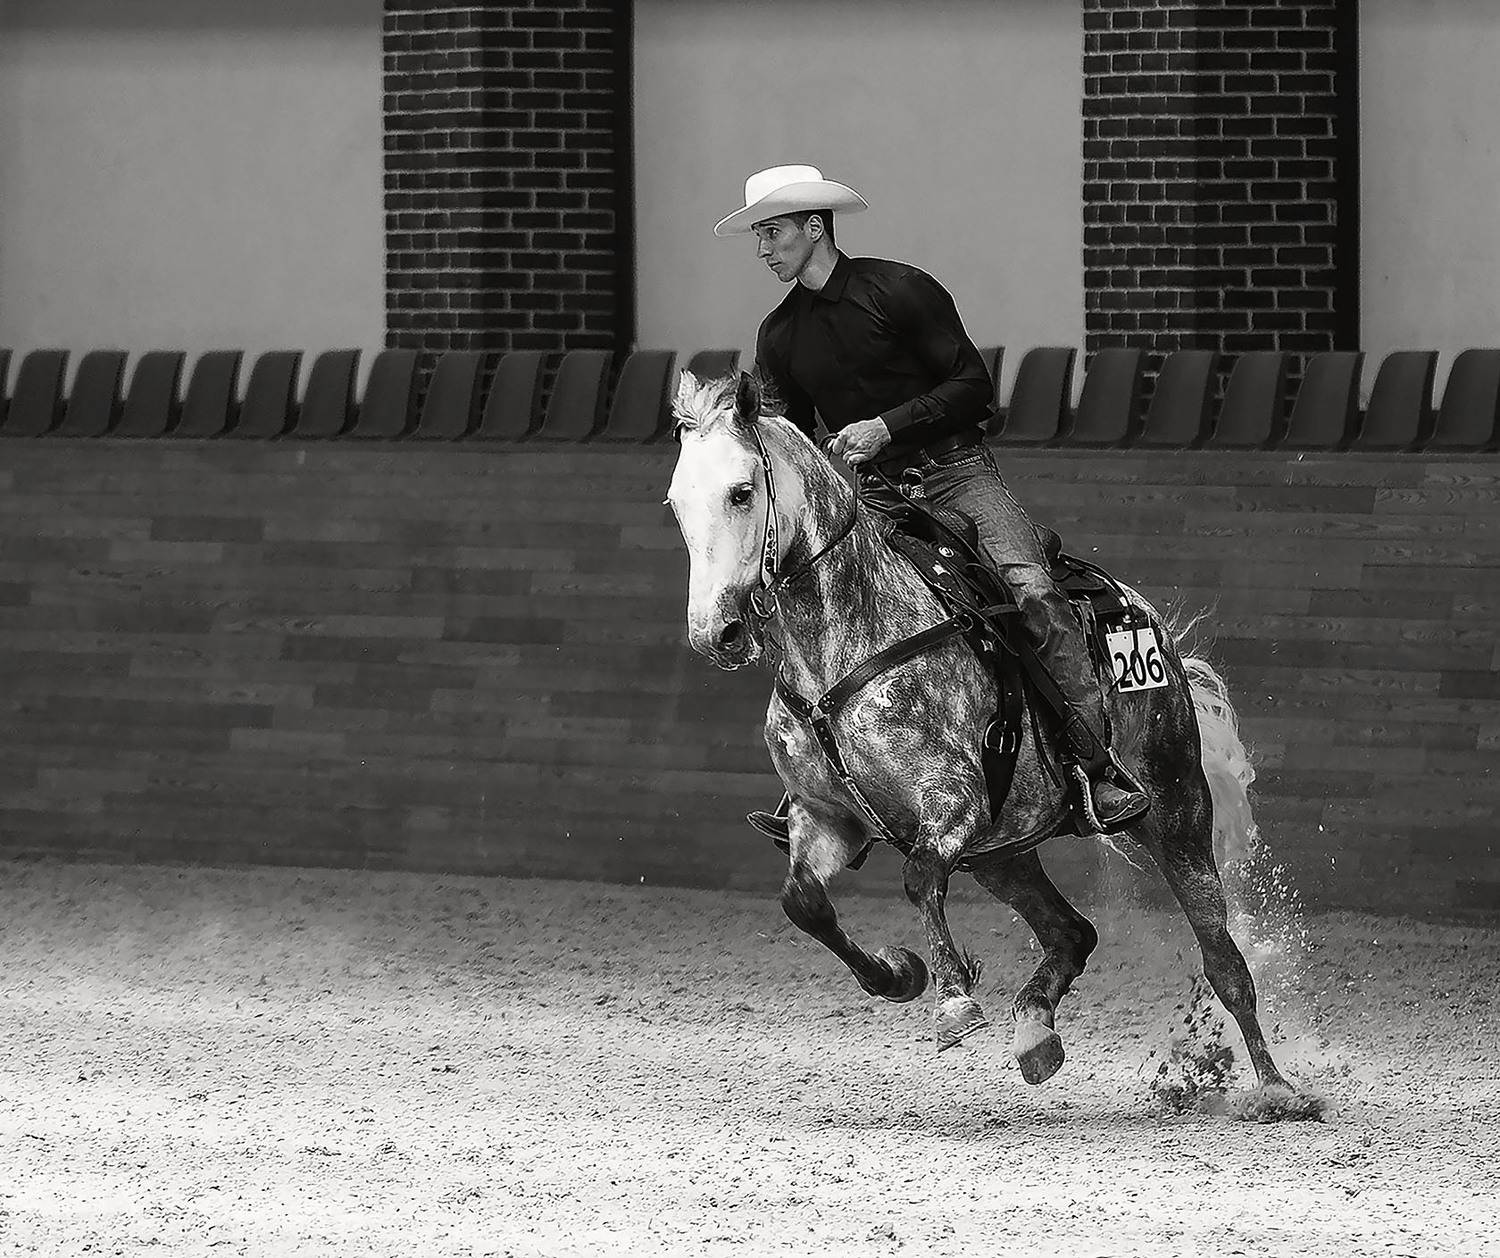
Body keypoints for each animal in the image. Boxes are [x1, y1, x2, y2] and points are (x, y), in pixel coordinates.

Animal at [665, 371, 1303, 1105]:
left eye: (742, 492)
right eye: (678, 504)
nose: (716, 634)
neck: (841, 643)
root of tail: (1149, 623)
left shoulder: (954, 801)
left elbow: (917, 877)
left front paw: (952, 1003)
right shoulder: (829, 818)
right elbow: (803, 901)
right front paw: (898, 975)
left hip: (1175, 811)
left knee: (1224, 961)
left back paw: (1277, 1089)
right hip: (1004, 851)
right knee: (1072, 932)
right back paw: (1035, 1036)